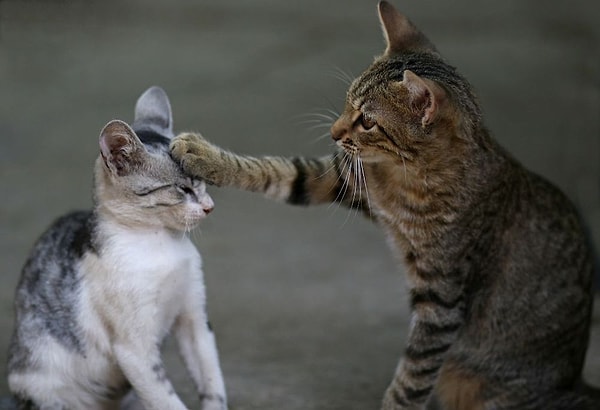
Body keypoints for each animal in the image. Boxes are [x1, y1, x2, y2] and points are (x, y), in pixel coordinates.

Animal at [7, 86, 227, 410]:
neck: (162, 244)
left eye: (202, 183)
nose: (210, 207)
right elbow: (166, 399)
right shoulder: (134, 349)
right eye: (183, 189)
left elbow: (212, 382)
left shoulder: (196, 320)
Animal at [169, 1, 596, 408]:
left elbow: (412, 379)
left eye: (368, 122)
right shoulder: (344, 179)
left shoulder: (441, 299)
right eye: (346, 102)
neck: (406, 179)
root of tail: (574, 379)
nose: (333, 132)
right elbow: (273, 170)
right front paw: (205, 156)